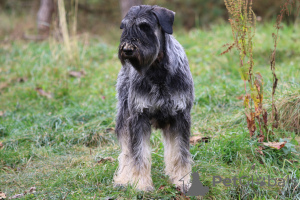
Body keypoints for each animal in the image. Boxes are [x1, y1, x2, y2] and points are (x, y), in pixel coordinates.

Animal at [113, 5, 195, 192]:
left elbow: (180, 152)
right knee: (126, 153)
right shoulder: (138, 118)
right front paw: (141, 184)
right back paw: (123, 179)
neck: (158, 71)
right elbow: (139, 154)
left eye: (145, 26)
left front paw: (182, 181)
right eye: (124, 26)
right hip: (124, 116)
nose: (127, 49)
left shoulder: (181, 116)